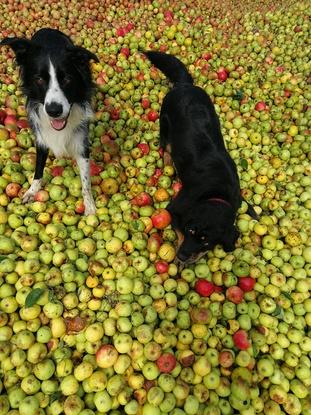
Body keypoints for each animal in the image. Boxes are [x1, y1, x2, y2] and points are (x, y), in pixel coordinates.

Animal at [0, 28, 98, 214]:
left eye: (67, 79)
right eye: (39, 79)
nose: (54, 110)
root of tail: (47, 29)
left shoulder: (81, 141)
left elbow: (86, 181)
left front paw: (90, 207)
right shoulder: (41, 138)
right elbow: (38, 169)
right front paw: (32, 191)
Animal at [144, 52, 256, 264]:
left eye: (206, 241)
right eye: (190, 230)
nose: (182, 255)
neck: (217, 194)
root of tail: (184, 85)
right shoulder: (174, 209)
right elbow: (178, 231)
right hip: (164, 124)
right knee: (166, 147)